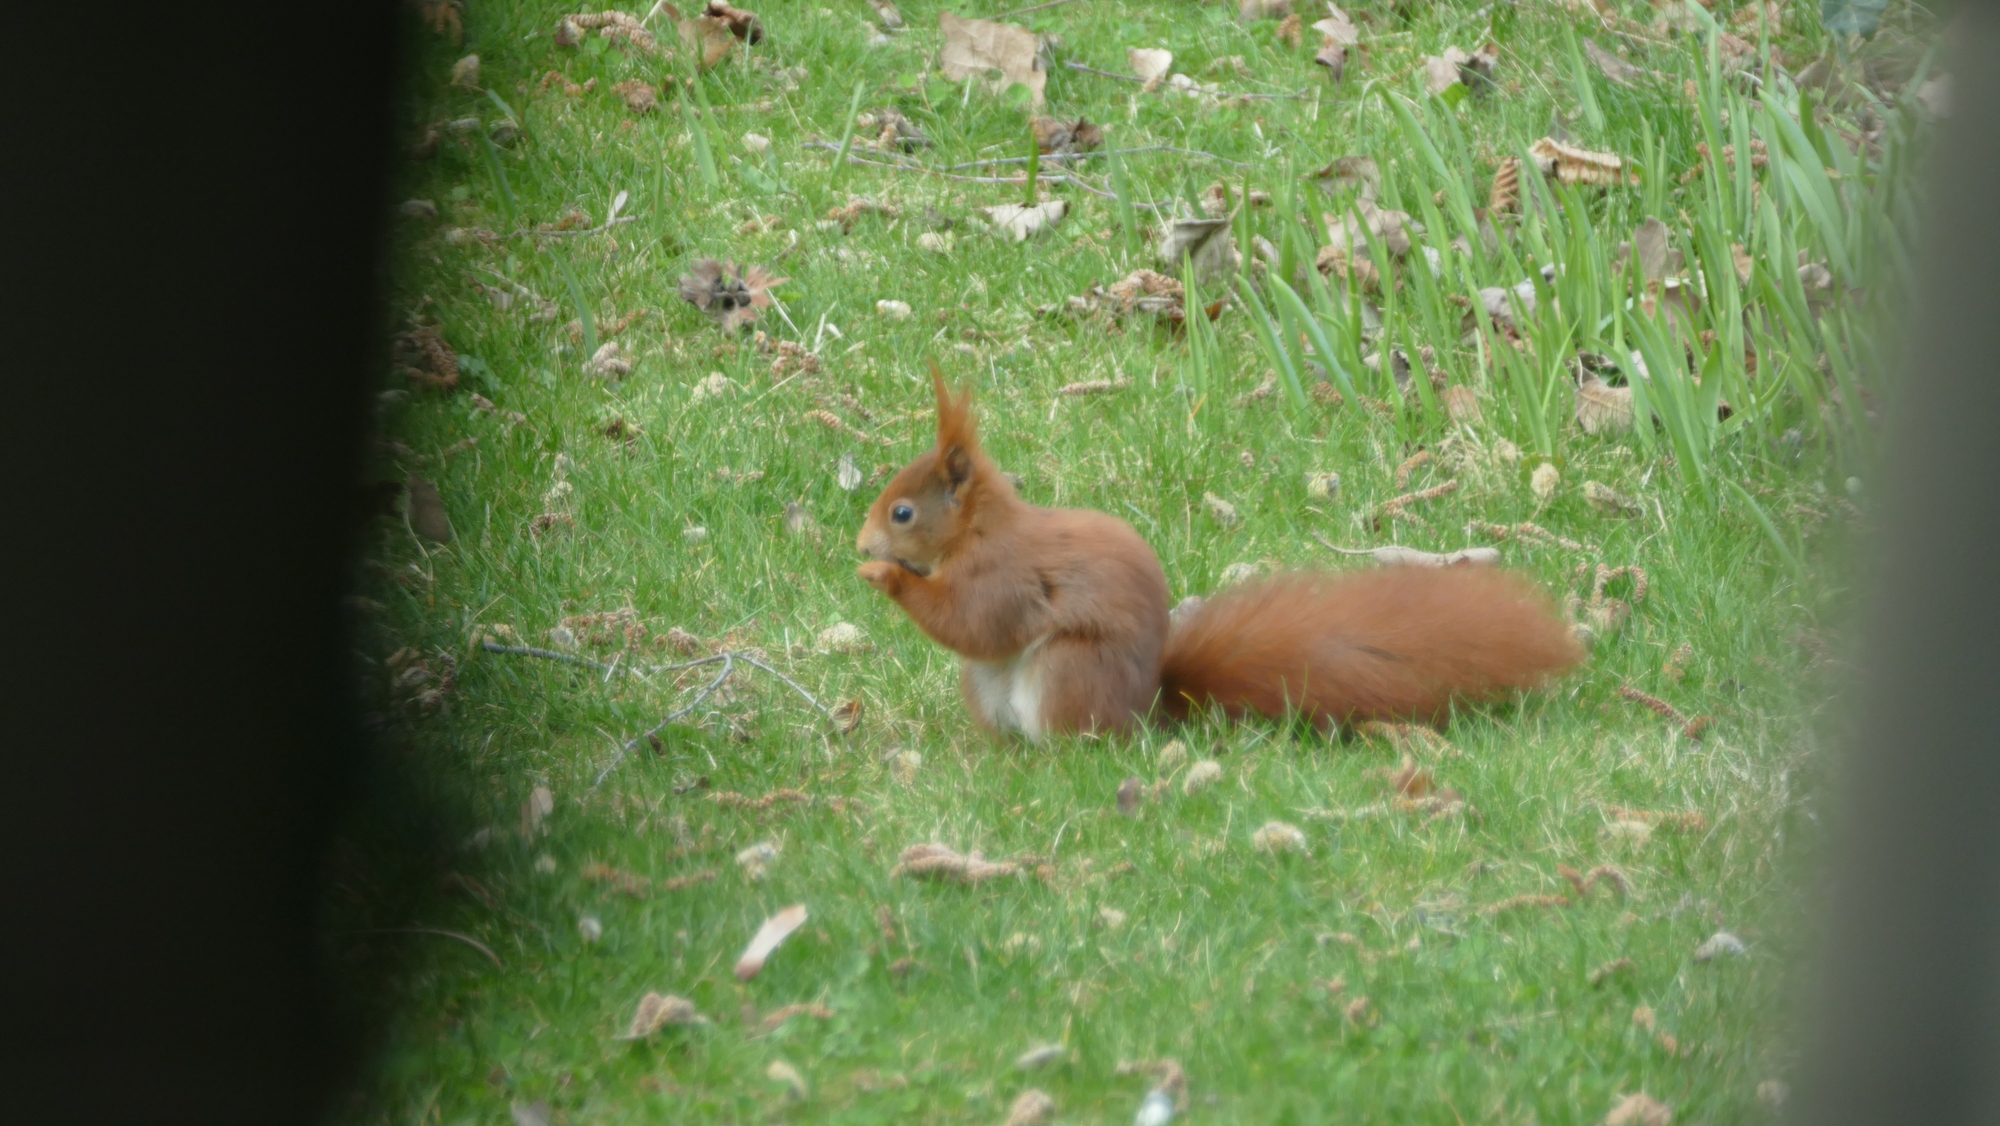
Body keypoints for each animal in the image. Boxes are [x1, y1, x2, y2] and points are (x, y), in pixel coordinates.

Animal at [855, 367, 1585, 740]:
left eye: (902, 512)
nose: (861, 543)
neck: (977, 535)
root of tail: (1145, 710)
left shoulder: (1006, 577)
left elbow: (975, 622)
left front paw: (886, 576)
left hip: (1069, 669)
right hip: (985, 689)